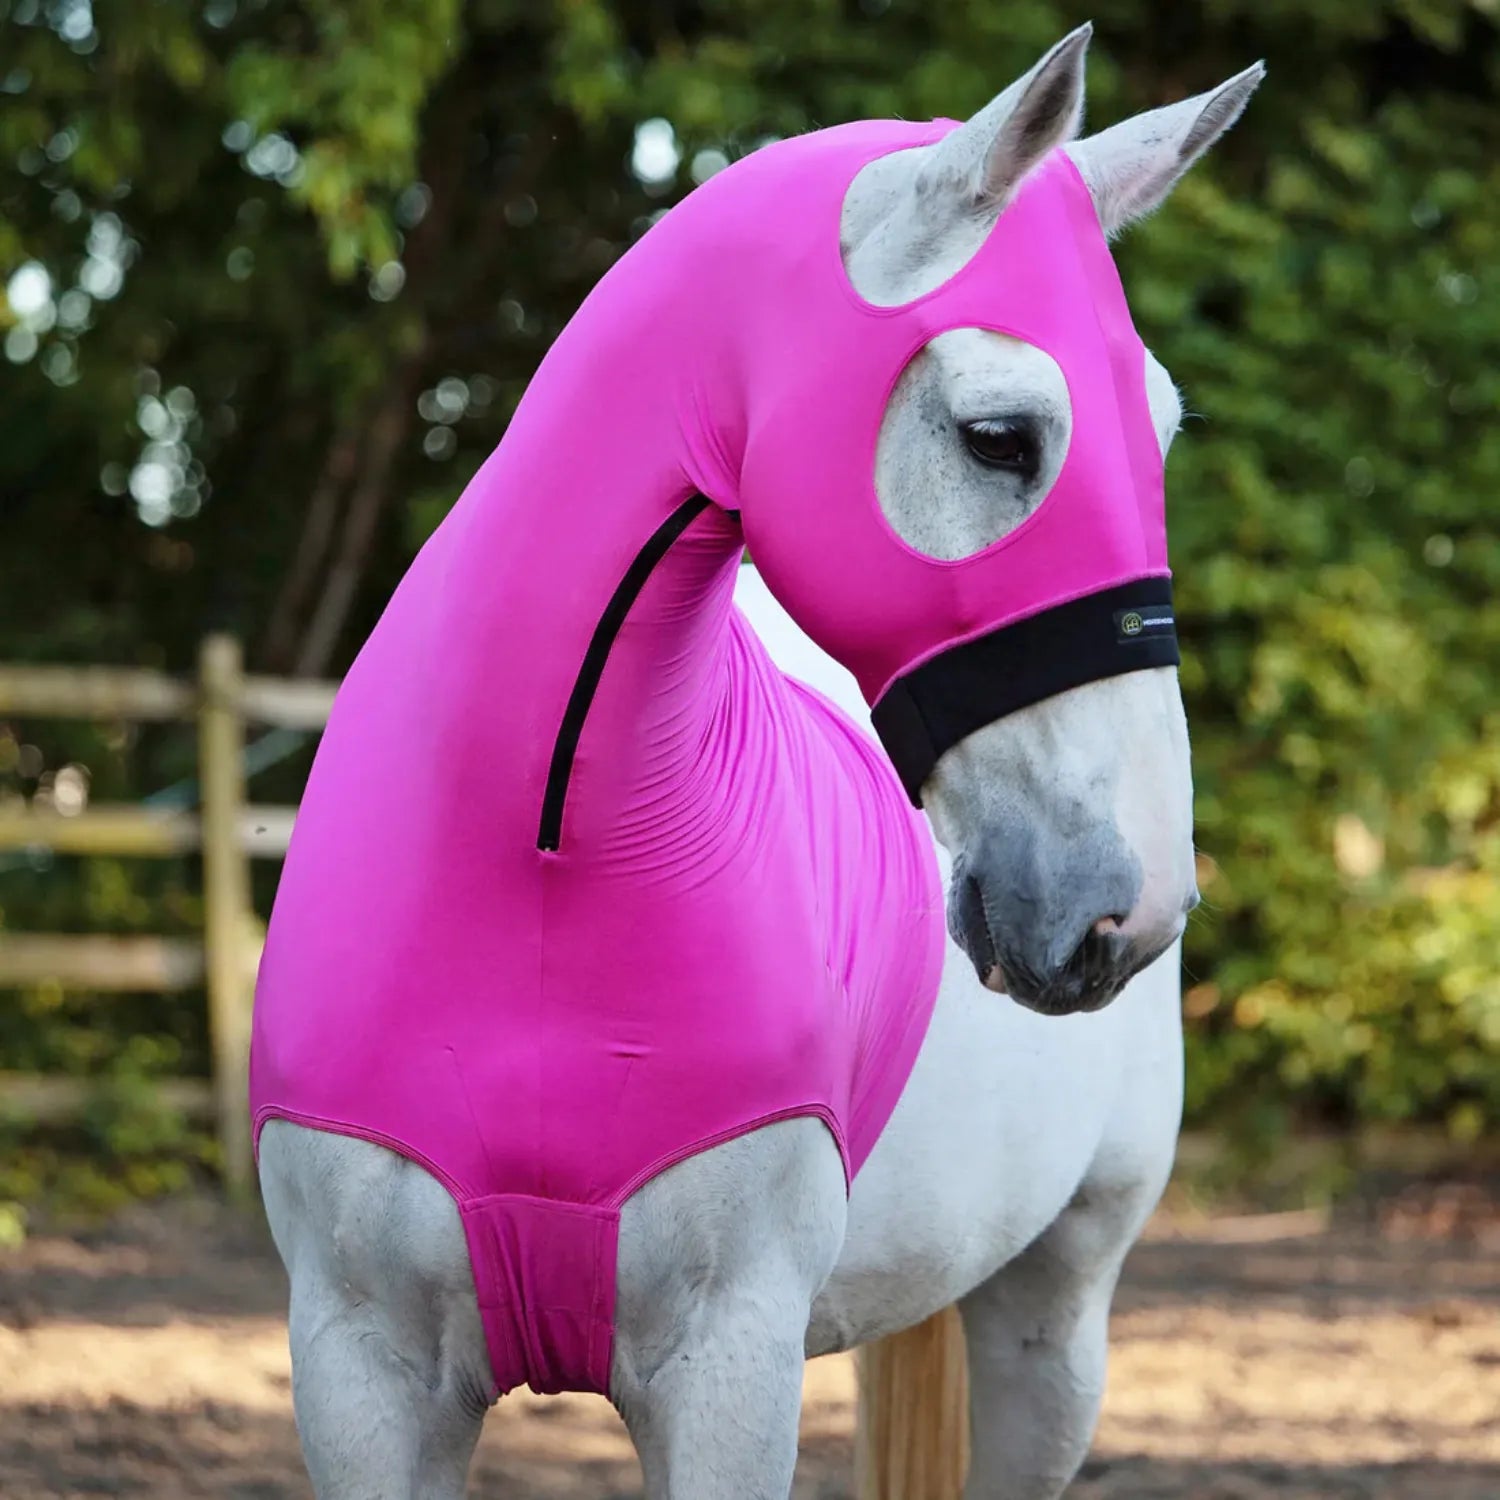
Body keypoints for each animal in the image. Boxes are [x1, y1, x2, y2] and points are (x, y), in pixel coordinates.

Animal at [255, 28, 1261, 1500]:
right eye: (1001, 437)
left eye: (1168, 429)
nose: (1122, 906)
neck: (547, 855)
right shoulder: (360, 1373)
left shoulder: (727, 1371)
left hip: (1053, 1318)